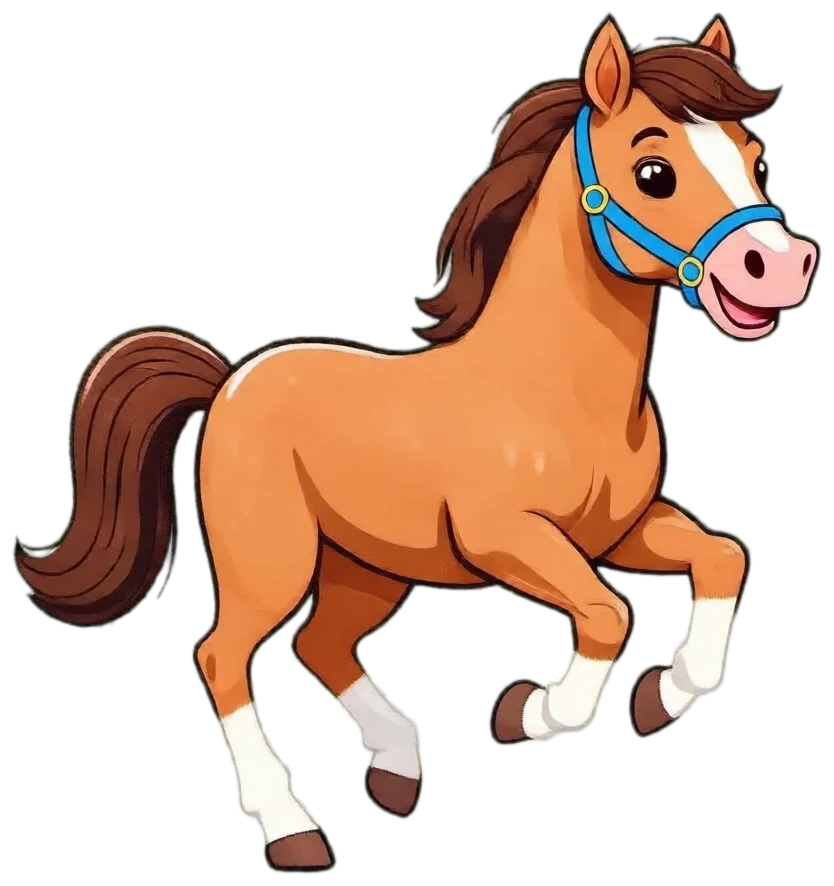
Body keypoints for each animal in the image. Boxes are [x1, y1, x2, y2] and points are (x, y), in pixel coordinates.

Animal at [15, 15, 819, 872]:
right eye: (655, 171)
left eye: (757, 161)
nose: (780, 268)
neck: (553, 388)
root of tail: (231, 379)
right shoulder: (505, 538)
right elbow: (605, 611)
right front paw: (532, 711)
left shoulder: (620, 530)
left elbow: (721, 557)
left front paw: (660, 698)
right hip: (273, 562)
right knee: (224, 658)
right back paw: (291, 826)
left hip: (366, 566)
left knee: (321, 644)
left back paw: (397, 768)